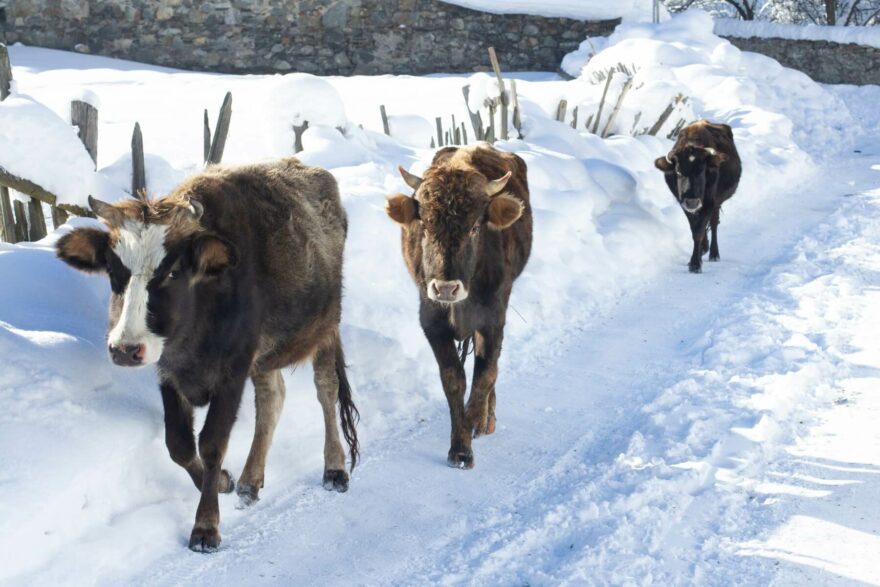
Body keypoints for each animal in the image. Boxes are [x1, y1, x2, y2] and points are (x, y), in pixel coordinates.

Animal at [55, 158, 359, 552]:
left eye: (172, 272)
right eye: (113, 270)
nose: (125, 349)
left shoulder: (232, 370)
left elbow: (213, 443)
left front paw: (205, 526)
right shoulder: (169, 371)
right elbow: (179, 445)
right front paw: (223, 482)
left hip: (325, 327)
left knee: (326, 389)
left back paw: (334, 468)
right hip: (266, 357)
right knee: (271, 397)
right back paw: (249, 480)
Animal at [384, 144, 532, 469]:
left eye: (475, 227)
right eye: (425, 225)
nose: (445, 288)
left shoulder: (493, 319)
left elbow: (486, 373)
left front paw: (476, 419)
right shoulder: (432, 322)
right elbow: (453, 379)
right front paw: (460, 448)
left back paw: (487, 418)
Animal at [654, 120, 742, 273]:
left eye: (701, 171)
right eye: (678, 171)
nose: (692, 202)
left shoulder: (709, 203)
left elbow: (699, 231)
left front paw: (695, 263)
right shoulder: (684, 204)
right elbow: (694, 228)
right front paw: (698, 256)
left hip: (716, 203)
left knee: (714, 224)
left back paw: (714, 253)